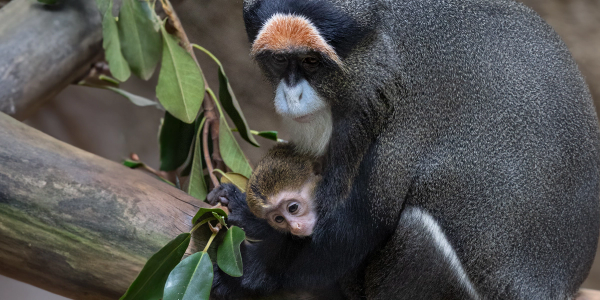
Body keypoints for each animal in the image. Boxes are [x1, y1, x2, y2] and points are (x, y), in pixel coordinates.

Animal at [207, 0, 600, 298]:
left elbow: (359, 227)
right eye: (279, 60)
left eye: (310, 62)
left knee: (418, 230)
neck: (384, 35)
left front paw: (254, 273)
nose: (292, 94)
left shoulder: (403, 108)